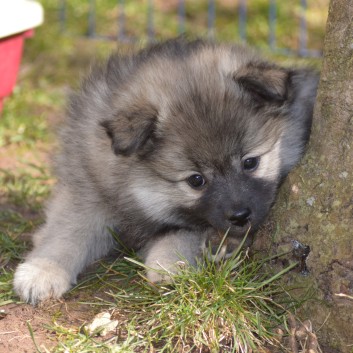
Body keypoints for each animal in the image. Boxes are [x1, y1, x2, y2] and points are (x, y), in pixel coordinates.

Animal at [13, 37, 318, 302]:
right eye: (196, 180)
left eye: (250, 162)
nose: (241, 216)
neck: (130, 192)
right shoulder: (85, 189)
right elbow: (66, 232)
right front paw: (42, 269)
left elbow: (184, 231)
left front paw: (169, 263)